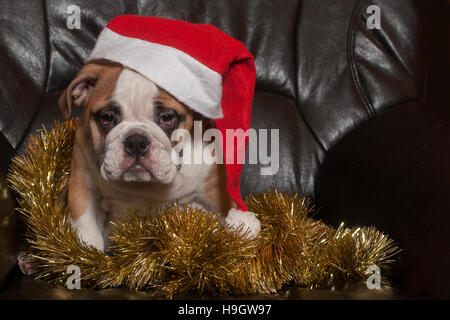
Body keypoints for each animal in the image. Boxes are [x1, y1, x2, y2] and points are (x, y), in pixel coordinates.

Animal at [57, 59, 260, 250]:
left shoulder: (216, 190)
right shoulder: (83, 183)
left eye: (167, 117)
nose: (136, 141)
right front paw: (87, 255)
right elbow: (86, 228)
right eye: (107, 117)